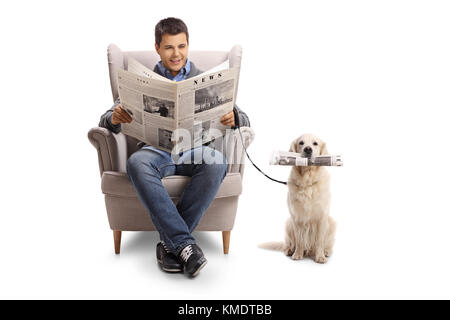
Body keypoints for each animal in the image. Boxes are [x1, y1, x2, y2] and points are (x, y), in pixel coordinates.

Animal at [258, 134, 336, 264]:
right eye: (301, 143)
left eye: (315, 143)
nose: (308, 149)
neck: (307, 181)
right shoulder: (297, 217)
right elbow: (299, 240)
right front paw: (298, 254)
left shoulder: (322, 216)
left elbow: (320, 240)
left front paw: (320, 256)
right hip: (288, 223)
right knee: (290, 243)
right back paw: (290, 250)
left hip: (331, 223)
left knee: (328, 244)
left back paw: (326, 251)